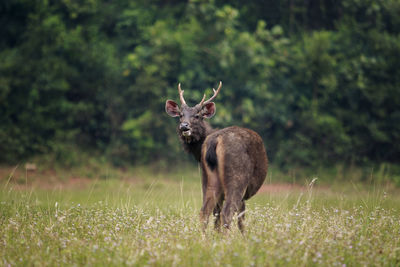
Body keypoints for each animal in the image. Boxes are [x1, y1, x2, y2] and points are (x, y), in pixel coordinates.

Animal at [166, 81, 268, 232]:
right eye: (180, 115)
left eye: (198, 115)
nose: (184, 126)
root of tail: (215, 140)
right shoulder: (243, 194)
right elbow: (240, 220)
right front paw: (245, 236)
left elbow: (216, 217)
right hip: (237, 177)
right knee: (227, 213)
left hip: (208, 179)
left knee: (205, 212)